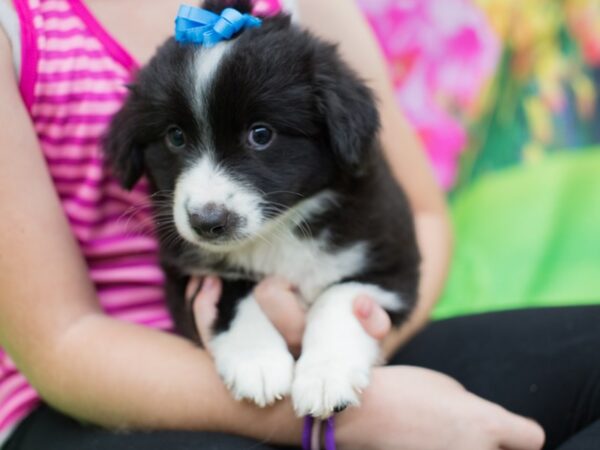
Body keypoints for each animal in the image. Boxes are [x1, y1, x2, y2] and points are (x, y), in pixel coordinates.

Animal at [104, 0, 422, 418]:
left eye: (261, 134)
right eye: (175, 137)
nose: (207, 222)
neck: (279, 230)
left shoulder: (391, 259)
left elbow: (337, 298)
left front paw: (325, 377)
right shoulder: (185, 272)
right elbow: (236, 290)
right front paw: (256, 361)